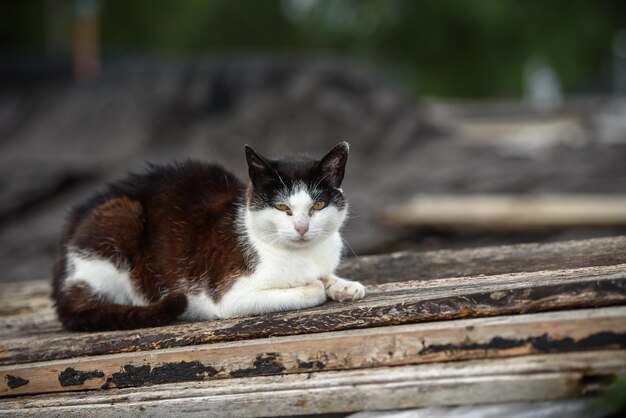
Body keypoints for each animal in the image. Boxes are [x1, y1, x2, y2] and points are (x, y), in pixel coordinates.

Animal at [53, 142, 366, 332]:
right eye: (282, 207)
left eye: (318, 205)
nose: (302, 228)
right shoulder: (229, 297)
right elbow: (310, 289)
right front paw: (318, 285)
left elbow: (325, 276)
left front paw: (343, 285)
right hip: (123, 214)